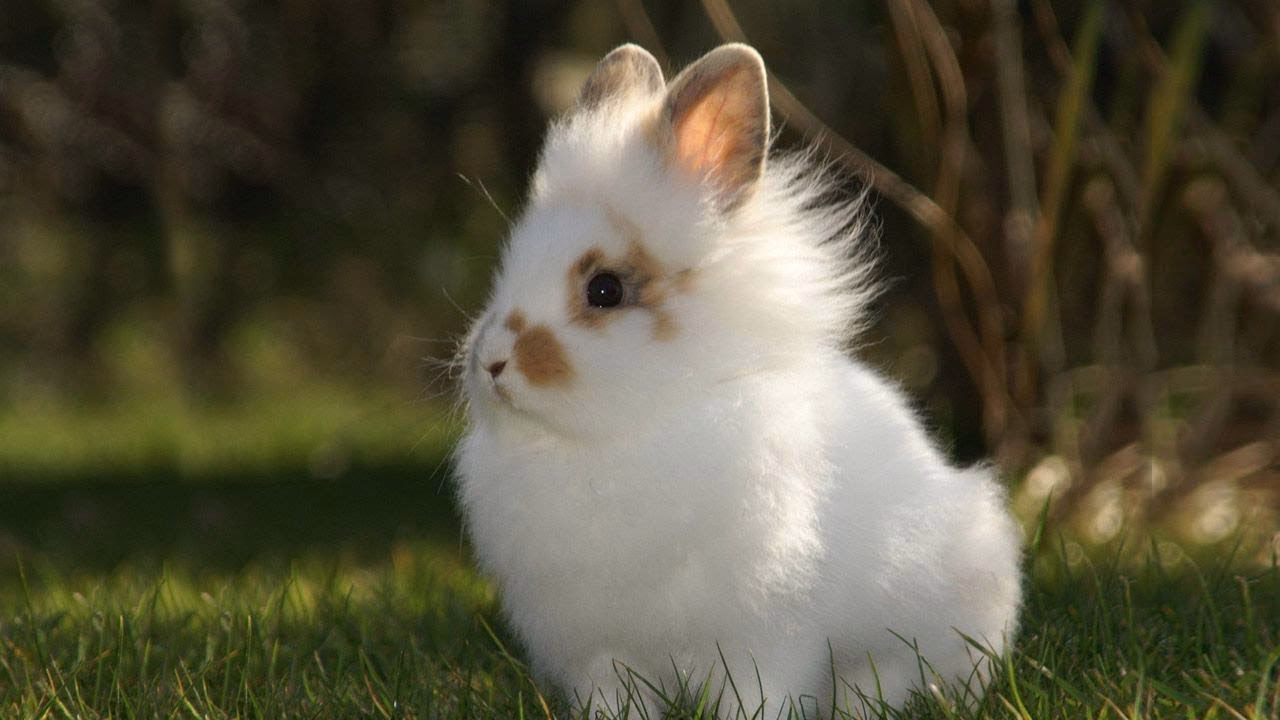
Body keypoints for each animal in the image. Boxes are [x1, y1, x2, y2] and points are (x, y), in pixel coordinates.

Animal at [454, 43, 1023, 715]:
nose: (492, 362)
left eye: (605, 290)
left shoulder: (766, 635)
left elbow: (760, 690)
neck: (618, 436)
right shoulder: (600, 652)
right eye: (507, 270)